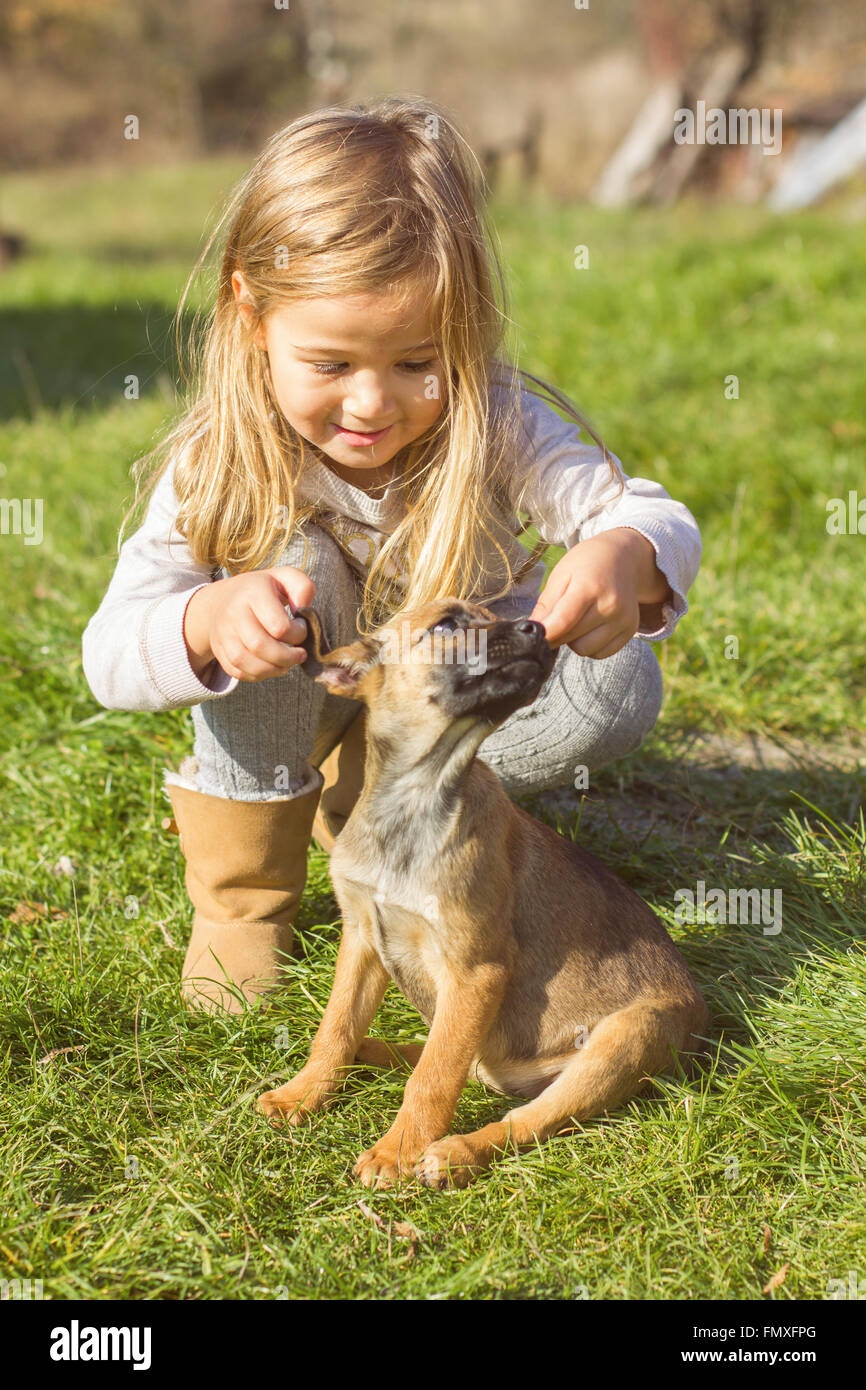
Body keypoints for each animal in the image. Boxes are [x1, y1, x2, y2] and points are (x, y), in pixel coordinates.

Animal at [258, 594, 711, 1184]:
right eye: (447, 625)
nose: (539, 627)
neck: (415, 803)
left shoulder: (475, 971)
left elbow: (432, 1077)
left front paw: (396, 1152)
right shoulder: (362, 938)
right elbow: (335, 1030)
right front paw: (304, 1093)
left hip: (624, 1038)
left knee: (522, 1116)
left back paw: (453, 1152)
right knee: (449, 1060)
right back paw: (371, 1054)